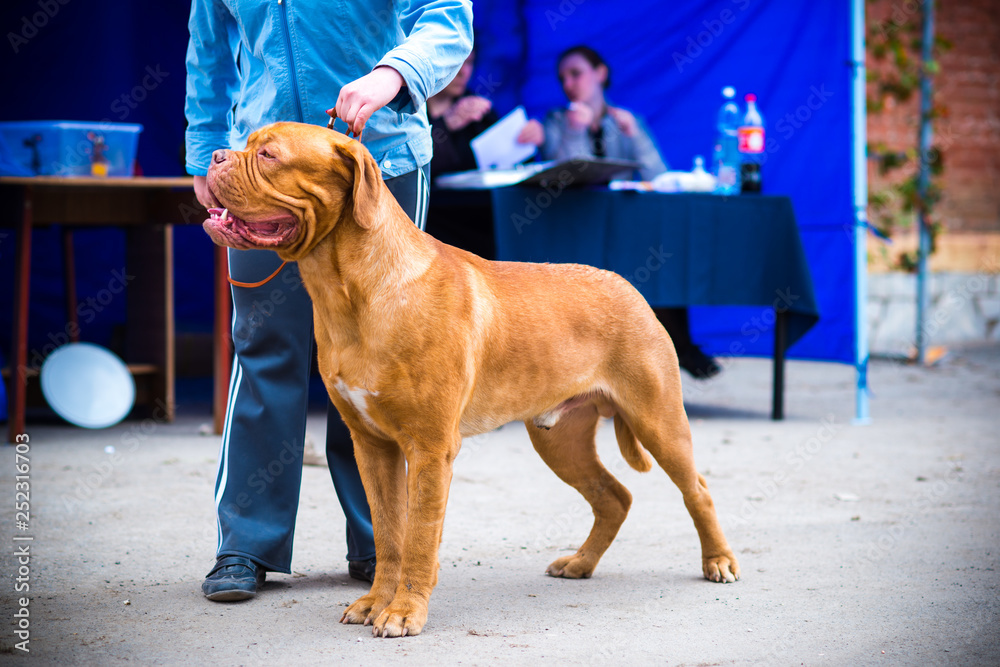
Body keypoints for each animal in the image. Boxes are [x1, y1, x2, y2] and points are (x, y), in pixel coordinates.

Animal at [203, 122, 736, 640]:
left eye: (269, 154)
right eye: (246, 140)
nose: (214, 156)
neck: (350, 289)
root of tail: (631, 288)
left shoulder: (430, 446)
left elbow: (418, 535)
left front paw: (403, 613)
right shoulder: (372, 445)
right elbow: (389, 532)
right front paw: (376, 602)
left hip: (658, 418)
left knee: (698, 489)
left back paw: (719, 562)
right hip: (559, 438)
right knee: (614, 497)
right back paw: (581, 563)